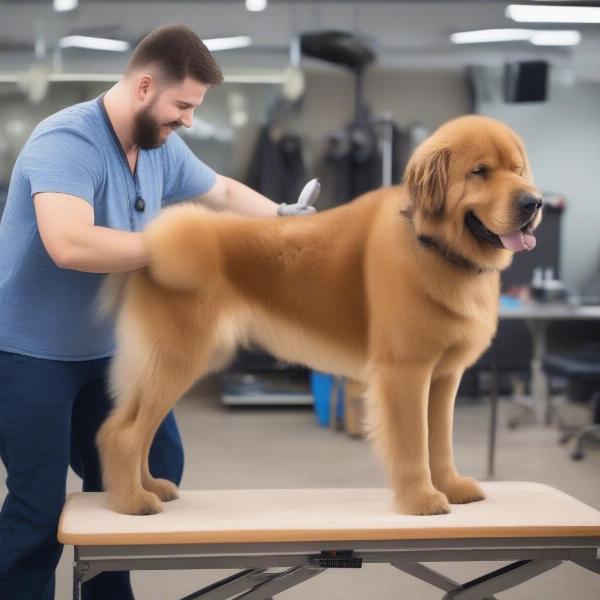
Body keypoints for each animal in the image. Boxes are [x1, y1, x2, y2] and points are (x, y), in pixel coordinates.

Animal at [96, 116, 540, 516]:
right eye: (480, 172)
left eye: (518, 170)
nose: (532, 202)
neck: (431, 244)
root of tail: (152, 246)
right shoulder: (406, 372)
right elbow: (414, 443)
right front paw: (422, 500)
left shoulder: (444, 377)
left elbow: (440, 442)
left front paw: (451, 486)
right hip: (175, 359)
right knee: (122, 432)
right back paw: (131, 501)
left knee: (139, 428)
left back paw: (150, 486)